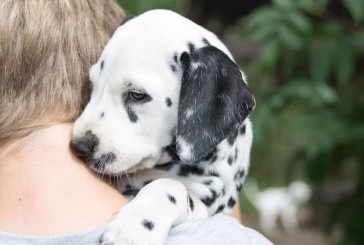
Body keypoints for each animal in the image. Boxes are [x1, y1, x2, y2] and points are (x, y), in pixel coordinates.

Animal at [69, 9, 255, 245]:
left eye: (137, 95)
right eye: (92, 85)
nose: (79, 146)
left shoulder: (204, 206)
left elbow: (171, 186)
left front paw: (135, 227)